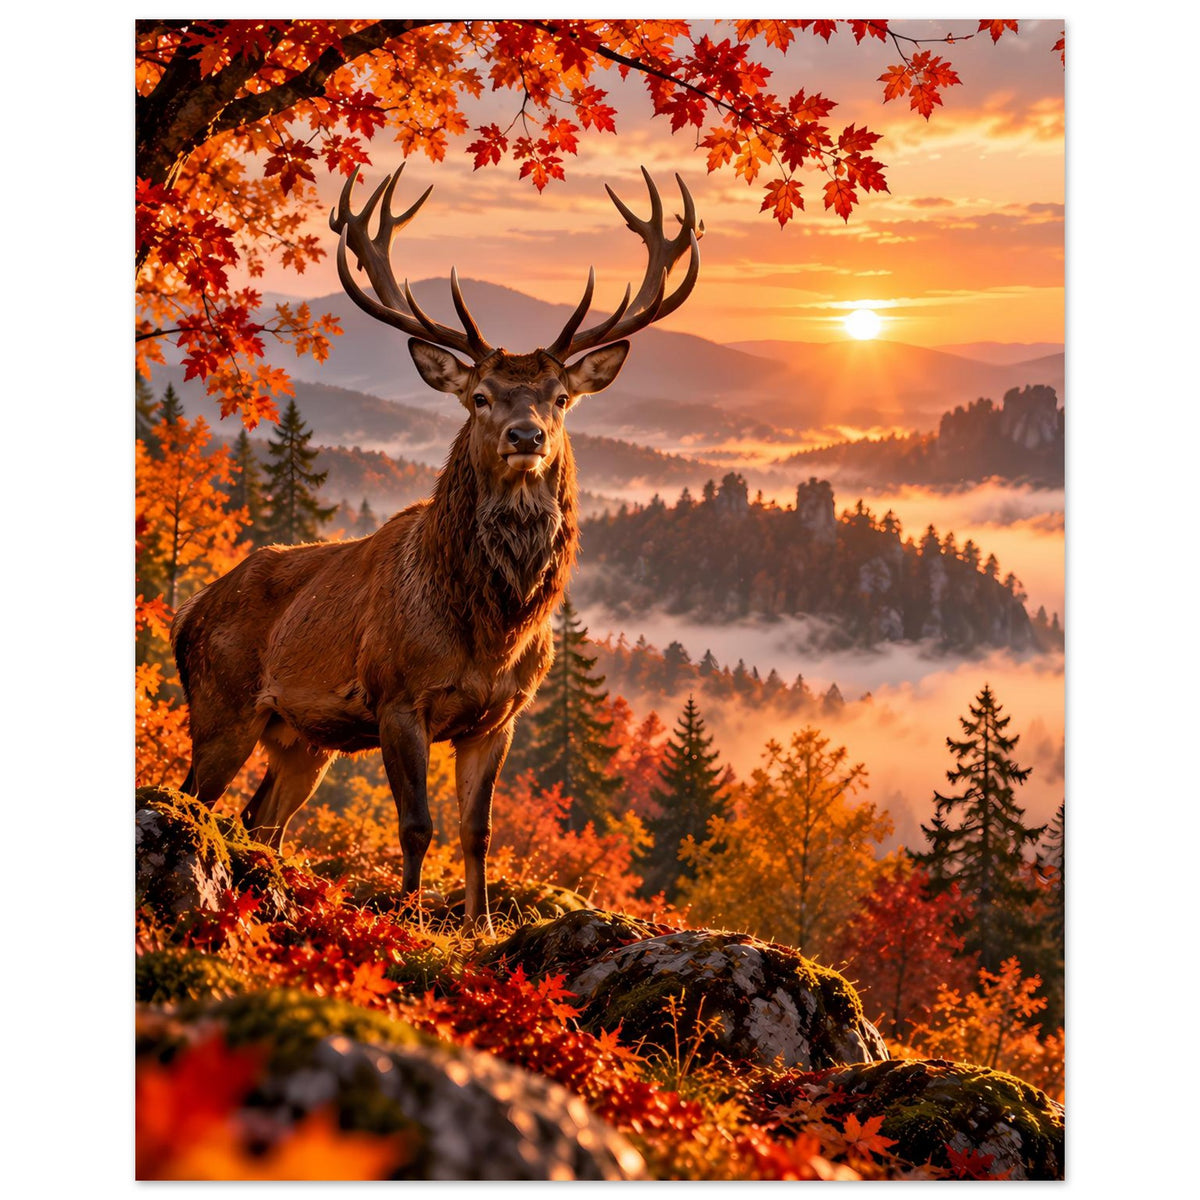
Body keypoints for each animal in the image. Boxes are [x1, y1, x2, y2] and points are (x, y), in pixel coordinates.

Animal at [170, 162, 702, 930]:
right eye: (479, 396)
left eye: (560, 397)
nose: (525, 435)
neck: (492, 631)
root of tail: (187, 614)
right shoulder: (397, 696)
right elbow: (416, 823)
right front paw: (409, 920)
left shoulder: (500, 716)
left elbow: (477, 829)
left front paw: (479, 925)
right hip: (221, 704)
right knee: (193, 797)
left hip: (299, 739)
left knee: (259, 819)